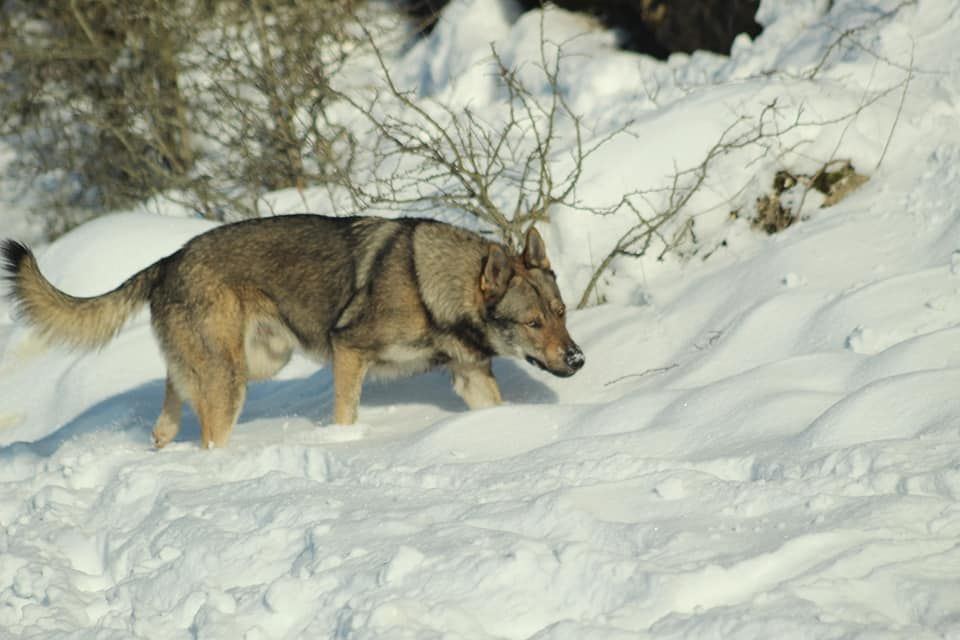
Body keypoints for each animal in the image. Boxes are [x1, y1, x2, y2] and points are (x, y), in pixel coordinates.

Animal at [1, 215, 584, 449]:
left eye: (562, 312)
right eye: (533, 322)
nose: (577, 360)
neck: (432, 286)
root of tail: (167, 260)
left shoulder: (471, 375)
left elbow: (493, 409)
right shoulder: (349, 350)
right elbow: (345, 415)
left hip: (257, 363)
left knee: (176, 381)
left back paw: (163, 436)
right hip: (234, 381)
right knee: (205, 424)